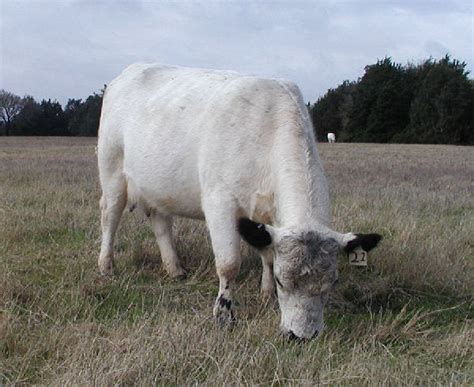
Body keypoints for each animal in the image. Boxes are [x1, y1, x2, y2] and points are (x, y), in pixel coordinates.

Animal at [97, 65, 382, 342]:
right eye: (282, 281)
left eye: (333, 283)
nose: (302, 336)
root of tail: (129, 71)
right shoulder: (219, 204)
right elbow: (228, 263)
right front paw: (224, 314)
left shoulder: (266, 217)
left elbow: (268, 254)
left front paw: (266, 293)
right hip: (112, 172)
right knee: (110, 217)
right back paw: (106, 265)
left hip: (157, 187)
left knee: (161, 224)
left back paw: (175, 269)